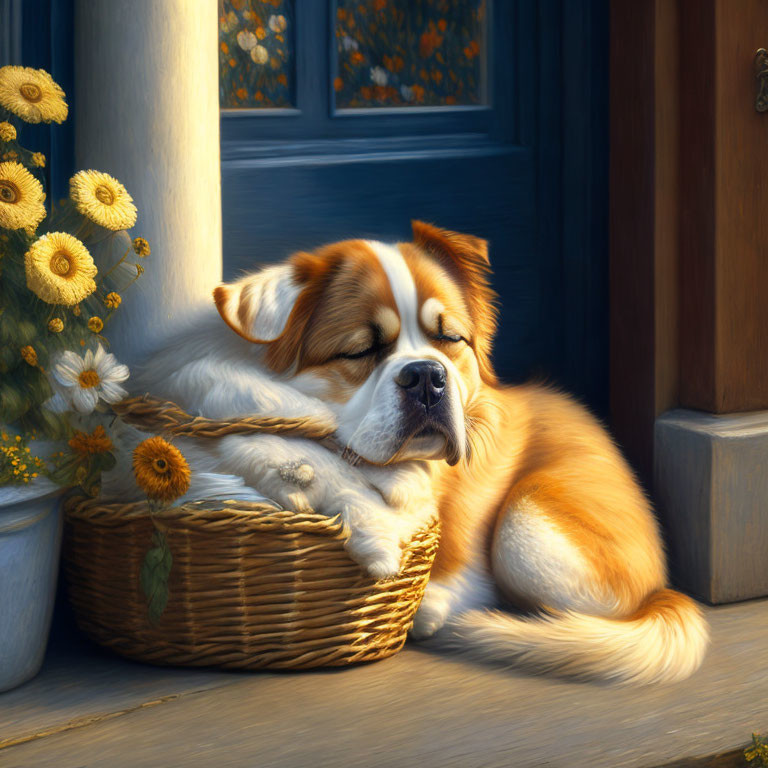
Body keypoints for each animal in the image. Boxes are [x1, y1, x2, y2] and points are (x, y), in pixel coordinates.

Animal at [108, 220, 708, 684]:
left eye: (449, 340)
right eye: (361, 350)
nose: (426, 377)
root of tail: (662, 589)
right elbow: (262, 438)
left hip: (524, 525)